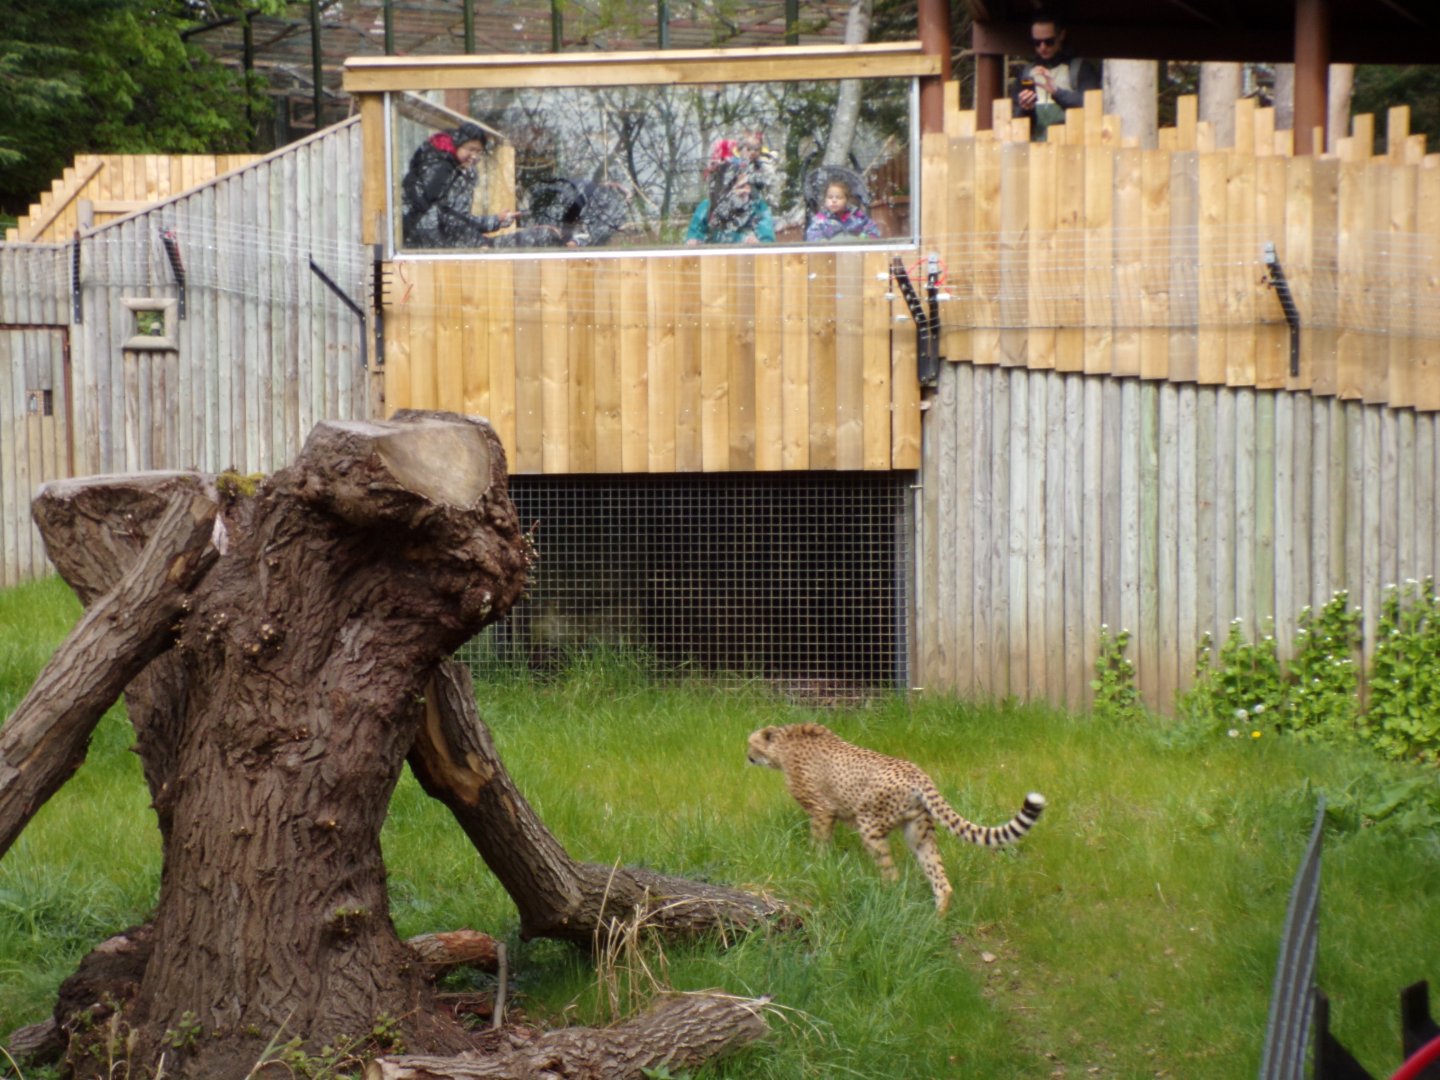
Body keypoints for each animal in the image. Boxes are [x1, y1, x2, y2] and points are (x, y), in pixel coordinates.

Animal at [746, 722, 1045, 914]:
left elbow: (818, 844)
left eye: (751, 743)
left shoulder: (821, 811)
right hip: (919, 833)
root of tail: (916, 772)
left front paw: (816, 864)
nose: (747, 756)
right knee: (941, 881)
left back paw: (882, 896)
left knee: (892, 874)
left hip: (869, 823)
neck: (785, 744)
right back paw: (936, 921)